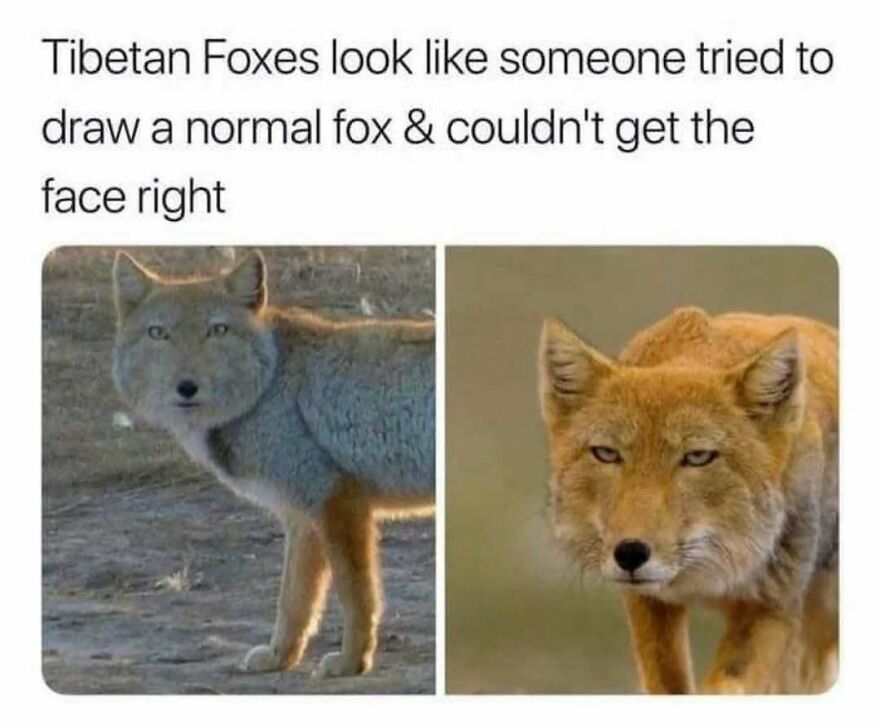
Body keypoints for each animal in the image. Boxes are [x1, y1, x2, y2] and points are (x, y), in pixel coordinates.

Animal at [112, 250, 435, 678]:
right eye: (158, 333)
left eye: (218, 330)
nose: (187, 387)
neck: (271, 383)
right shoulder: (301, 516)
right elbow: (293, 602)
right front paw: (281, 657)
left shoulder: (335, 503)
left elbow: (356, 597)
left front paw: (352, 661)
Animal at [538, 307, 838, 694]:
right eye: (606, 454)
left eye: (697, 457)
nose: (630, 553)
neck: (708, 579)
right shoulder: (647, 600)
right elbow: (669, 684)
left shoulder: (772, 606)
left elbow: (725, 686)